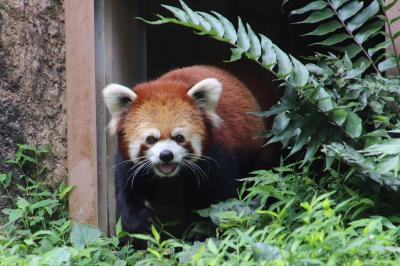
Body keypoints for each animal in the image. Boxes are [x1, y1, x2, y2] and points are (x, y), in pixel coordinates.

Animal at [104, 65, 272, 236]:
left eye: (179, 137)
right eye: (151, 139)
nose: (166, 155)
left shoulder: (217, 157)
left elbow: (223, 200)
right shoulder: (127, 163)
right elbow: (127, 192)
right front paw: (138, 223)